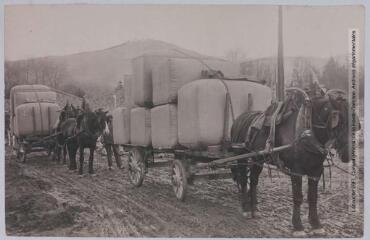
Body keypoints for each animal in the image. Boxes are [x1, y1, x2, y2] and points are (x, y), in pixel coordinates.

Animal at [231, 88, 356, 236]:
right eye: (339, 121)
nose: (348, 153)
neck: (306, 131)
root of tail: (240, 118)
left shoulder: (316, 171)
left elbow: (313, 197)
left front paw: (316, 224)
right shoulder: (296, 171)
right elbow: (298, 197)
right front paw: (298, 226)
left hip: (258, 159)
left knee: (254, 180)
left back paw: (254, 208)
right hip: (241, 156)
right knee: (244, 180)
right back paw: (245, 208)